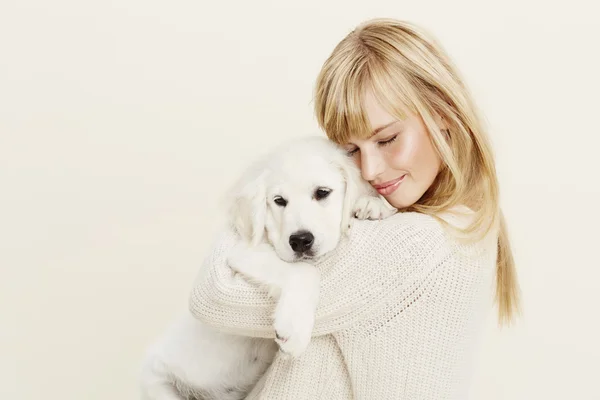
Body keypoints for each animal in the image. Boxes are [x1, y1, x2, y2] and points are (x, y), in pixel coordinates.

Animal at [138, 136, 396, 398]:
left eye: (322, 193)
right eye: (279, 201)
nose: (300, 241)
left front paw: (374, 203)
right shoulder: (243, 250)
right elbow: (304, 271)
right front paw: (293, 329)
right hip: (158, 384)